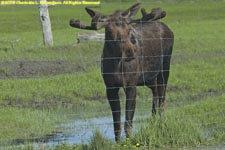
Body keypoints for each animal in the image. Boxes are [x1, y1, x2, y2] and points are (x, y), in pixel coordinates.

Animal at [69, 3, 175, 142]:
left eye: (129, 29)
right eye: (110, 32)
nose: (130, 52)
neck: (117, 65)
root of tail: (168, 29)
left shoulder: (131, 85)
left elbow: (128, 121)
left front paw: (129, 141)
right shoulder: (110, 87)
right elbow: (116, 124)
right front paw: (118, 143)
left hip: (165, 67)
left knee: (163, 98)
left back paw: (161, 123)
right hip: (149, 78)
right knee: (156, 94)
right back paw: (153, 120)